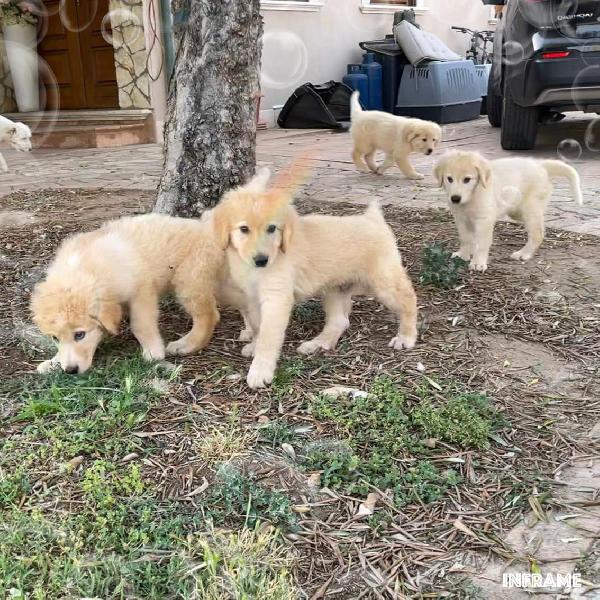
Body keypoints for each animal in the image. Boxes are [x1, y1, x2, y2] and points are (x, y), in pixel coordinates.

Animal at [31, 214, 223, 376]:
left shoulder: (141, 290)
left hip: (189, 278)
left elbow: (140, 324)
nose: (70, 370)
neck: (85, 269)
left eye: (80, 335)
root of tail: (204, 226)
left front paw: (153, 351)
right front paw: (52, 362)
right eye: (55, 338)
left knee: (208, 315)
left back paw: (187, 344)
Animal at [211, 168, 418, 390]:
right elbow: (258, 326)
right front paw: (254, 345)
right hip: (335, 289)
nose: (261, 260)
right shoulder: (252, 297)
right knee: (340, 321)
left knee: (409, 300)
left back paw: (406, 337)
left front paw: (260, 371)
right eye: (244, 229)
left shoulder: (276, 298)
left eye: (272, 228)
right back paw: (317, 344)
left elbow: (268, 336)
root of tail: (372, 219)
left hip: (383, 282)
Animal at [434, 151, 584, 274]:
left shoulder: (484, 220)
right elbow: (465, 239)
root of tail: (539, 164)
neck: (472, 196)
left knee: (537, 233)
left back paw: (524, 253)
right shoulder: (461, 219)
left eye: (467, 179)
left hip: (530, 207)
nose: (455, 198)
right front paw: (463, 255)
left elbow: (482, 243)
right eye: (449, 179)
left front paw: (478, 262)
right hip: (519, 210)